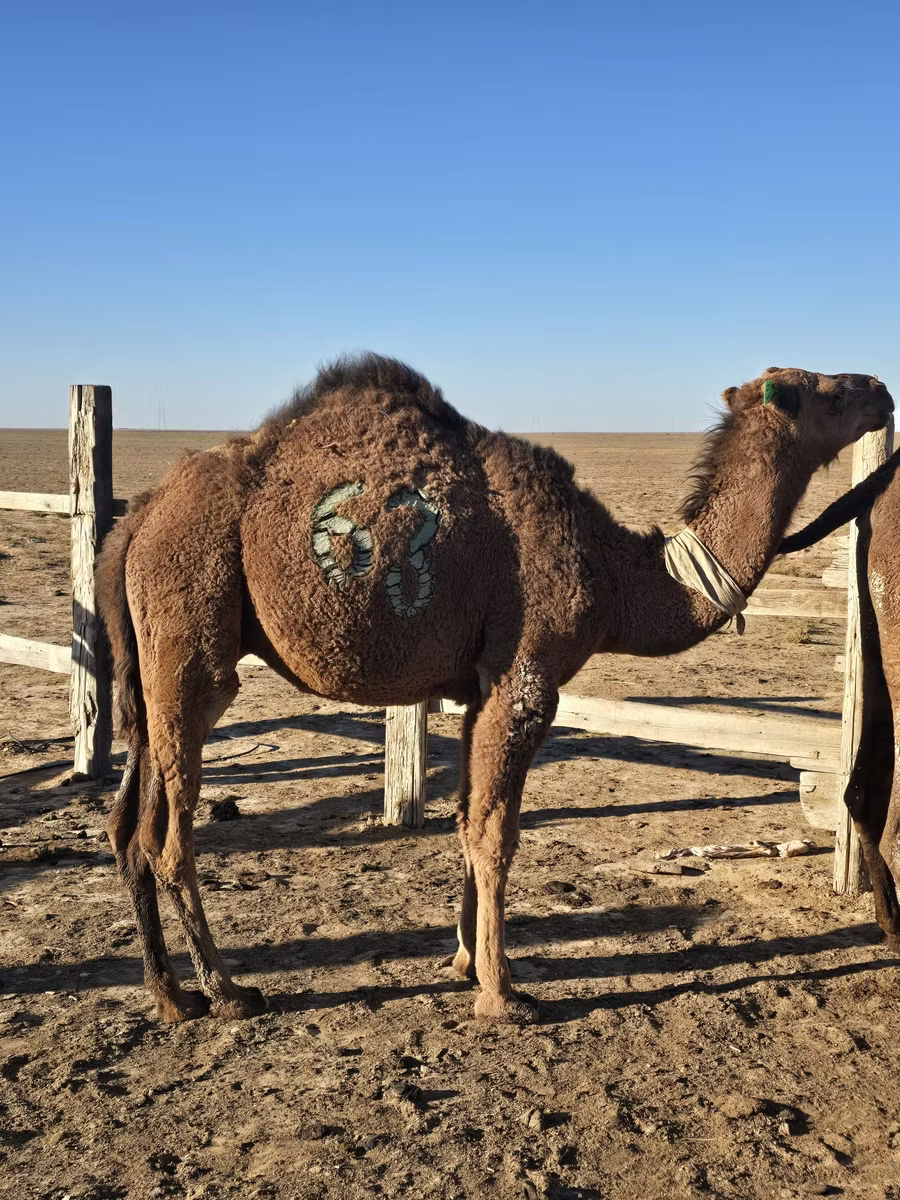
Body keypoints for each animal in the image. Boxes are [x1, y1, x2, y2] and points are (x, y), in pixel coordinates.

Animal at [96, 355, 892, 1024]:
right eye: (826, 390)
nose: (882, 390)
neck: (614, 573)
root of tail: (136, 520)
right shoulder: (526, 675)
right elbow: (497, 829)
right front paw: (503, 994)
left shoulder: (478, 686)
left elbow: (466, 818)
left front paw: (462, 960)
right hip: (191, 645)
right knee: (168, 833)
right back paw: (228, 993)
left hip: (153, 667)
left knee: (127, 823)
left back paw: (171, 997)